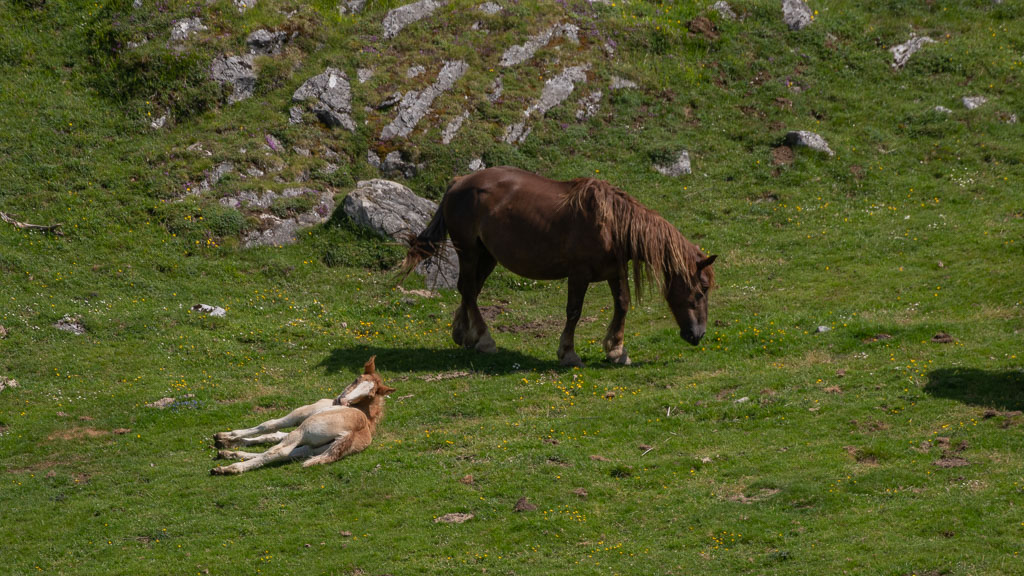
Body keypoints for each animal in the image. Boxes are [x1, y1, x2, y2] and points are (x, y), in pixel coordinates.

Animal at [211, 356, 395, 475]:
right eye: (357, 379)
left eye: (369, 395)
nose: (340, 401)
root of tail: (350, 433)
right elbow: (272, 435)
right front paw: (228, 443)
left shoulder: (300, 414)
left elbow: (269, 425)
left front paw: (226, 436)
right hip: (315, 447)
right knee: (292, 453)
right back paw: (228, 455)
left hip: (304, 430)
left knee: (279, 452)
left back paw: (230, 468)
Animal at [399, 166, 717, 367]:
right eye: (701, 289)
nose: (698, 335)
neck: (610, 224)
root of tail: (459, 182)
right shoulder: (579, 275)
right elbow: (574, 312)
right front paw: (568, 353)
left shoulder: (615, 271)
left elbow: (623, 304)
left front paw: (616, 350)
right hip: (469, 252)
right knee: (467, 290)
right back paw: (485, 340)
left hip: (487, 256)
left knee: (470, 291)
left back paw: (465, 335)